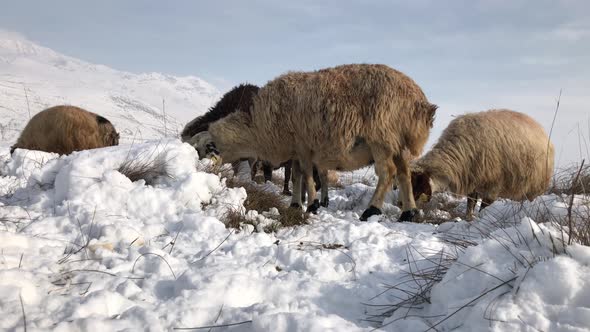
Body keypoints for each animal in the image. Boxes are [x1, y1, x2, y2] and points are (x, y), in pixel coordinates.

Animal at [204, 63, 440, 222]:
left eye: (211, 146)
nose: (209, 169)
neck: (259, 127)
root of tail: (419, 101)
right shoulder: (297, 148)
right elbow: (298, 175)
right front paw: (296, 204)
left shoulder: (303, 144)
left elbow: (308, 174)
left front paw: (312, 205)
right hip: (396, 143)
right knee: (404, 174)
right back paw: (408, 212)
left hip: (381, 136)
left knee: (387, 172)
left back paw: (371, 210)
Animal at [412, 107, 556, 219]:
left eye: (419, 189)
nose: (409, 215)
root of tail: (540, 129)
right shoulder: (473, 180)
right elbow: (470, 203)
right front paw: (468, 218)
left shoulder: (493, 185)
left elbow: (484, 207)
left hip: (536, 185)